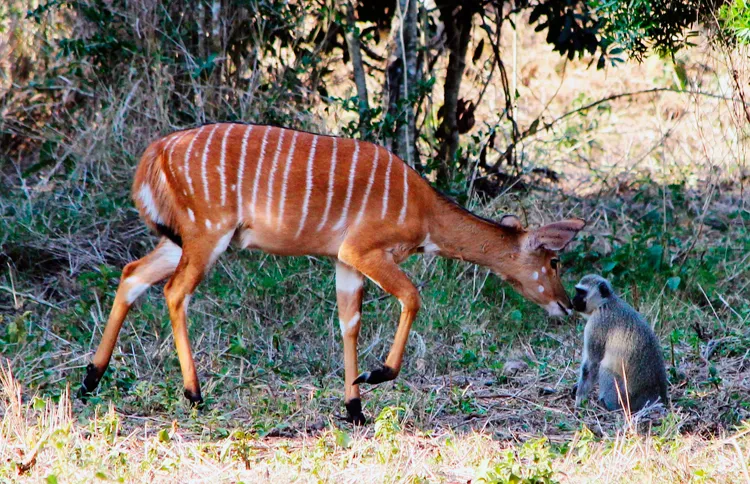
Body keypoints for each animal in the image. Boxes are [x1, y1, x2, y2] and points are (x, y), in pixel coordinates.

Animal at [82, 124, 588, 424]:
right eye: (555, 261)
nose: (569, 304)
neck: (424, 212)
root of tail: (156, 152)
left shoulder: (344, 261)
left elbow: (349, 322)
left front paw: (355, 408)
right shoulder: (363, 249)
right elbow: (412, 297)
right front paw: (377, 375)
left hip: (180, 239)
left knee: (132, 274)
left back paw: (90, 379)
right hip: (208, 235)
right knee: (174, 291)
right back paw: (194, 394)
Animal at [576, 276, 668, 412]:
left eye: (582, 292)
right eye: (577, 291)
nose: (573, 301)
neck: (605, 302)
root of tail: (655, 395)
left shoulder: (597, 323)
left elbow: (592, 364)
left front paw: (579, 397)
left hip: (625, 396)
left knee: (605, 368)